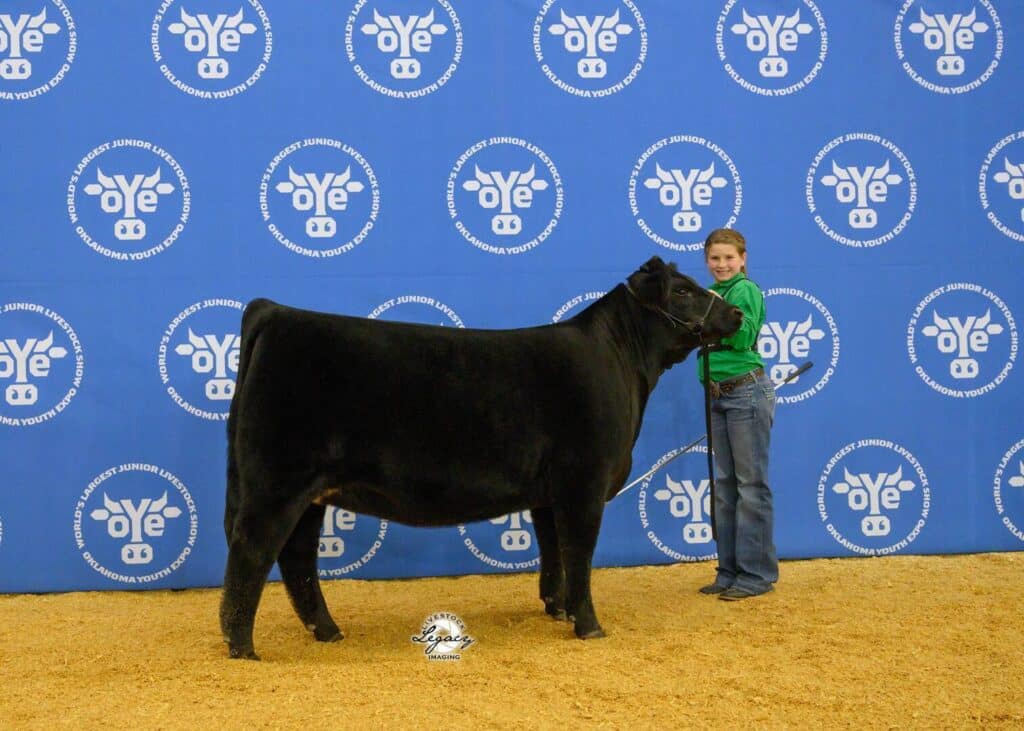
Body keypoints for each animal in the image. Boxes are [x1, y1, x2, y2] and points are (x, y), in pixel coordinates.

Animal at [220, 256, 743, 659]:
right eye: (682, 290)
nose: (737, 313)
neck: (621, 363)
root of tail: (276, 312)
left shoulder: (549, 494)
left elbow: (554, 552)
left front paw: (558, 608)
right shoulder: (583, 483)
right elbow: (579, 553)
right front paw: (589, 624)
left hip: (309, 491)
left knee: (296, 559)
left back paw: (327, 632)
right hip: (277, 481)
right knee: (252, 550)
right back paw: (242, 646)